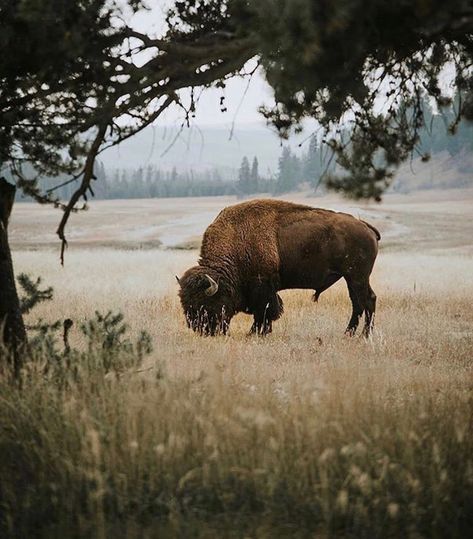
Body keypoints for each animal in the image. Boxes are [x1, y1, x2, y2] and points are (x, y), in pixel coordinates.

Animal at [177, 200, 380, 338]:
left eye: (204, 303)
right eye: (186, 304)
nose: (201, 330)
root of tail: (365, 226)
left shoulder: (263, 288)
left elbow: (266, 311)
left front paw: (255, 333)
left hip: (357, 277)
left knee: (366, 300)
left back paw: (364, 335)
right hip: (352, 278)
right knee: (359, 303)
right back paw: (350, 333)